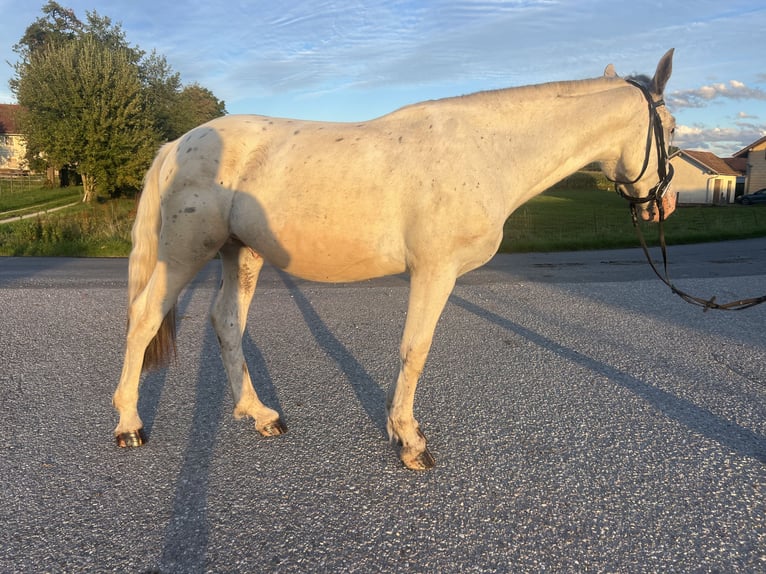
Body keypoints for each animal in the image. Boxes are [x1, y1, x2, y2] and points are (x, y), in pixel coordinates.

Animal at [113, 49, 676, 470]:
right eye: (669, 126)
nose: (664, 204)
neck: (485, 150)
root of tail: (178, 143)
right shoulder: (434, 272)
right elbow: (415, 349)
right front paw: (409, 440)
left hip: (241, 252)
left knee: (227, 322)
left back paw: (259, 414)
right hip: (186, 251)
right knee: (144, 317)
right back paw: (129, 425)